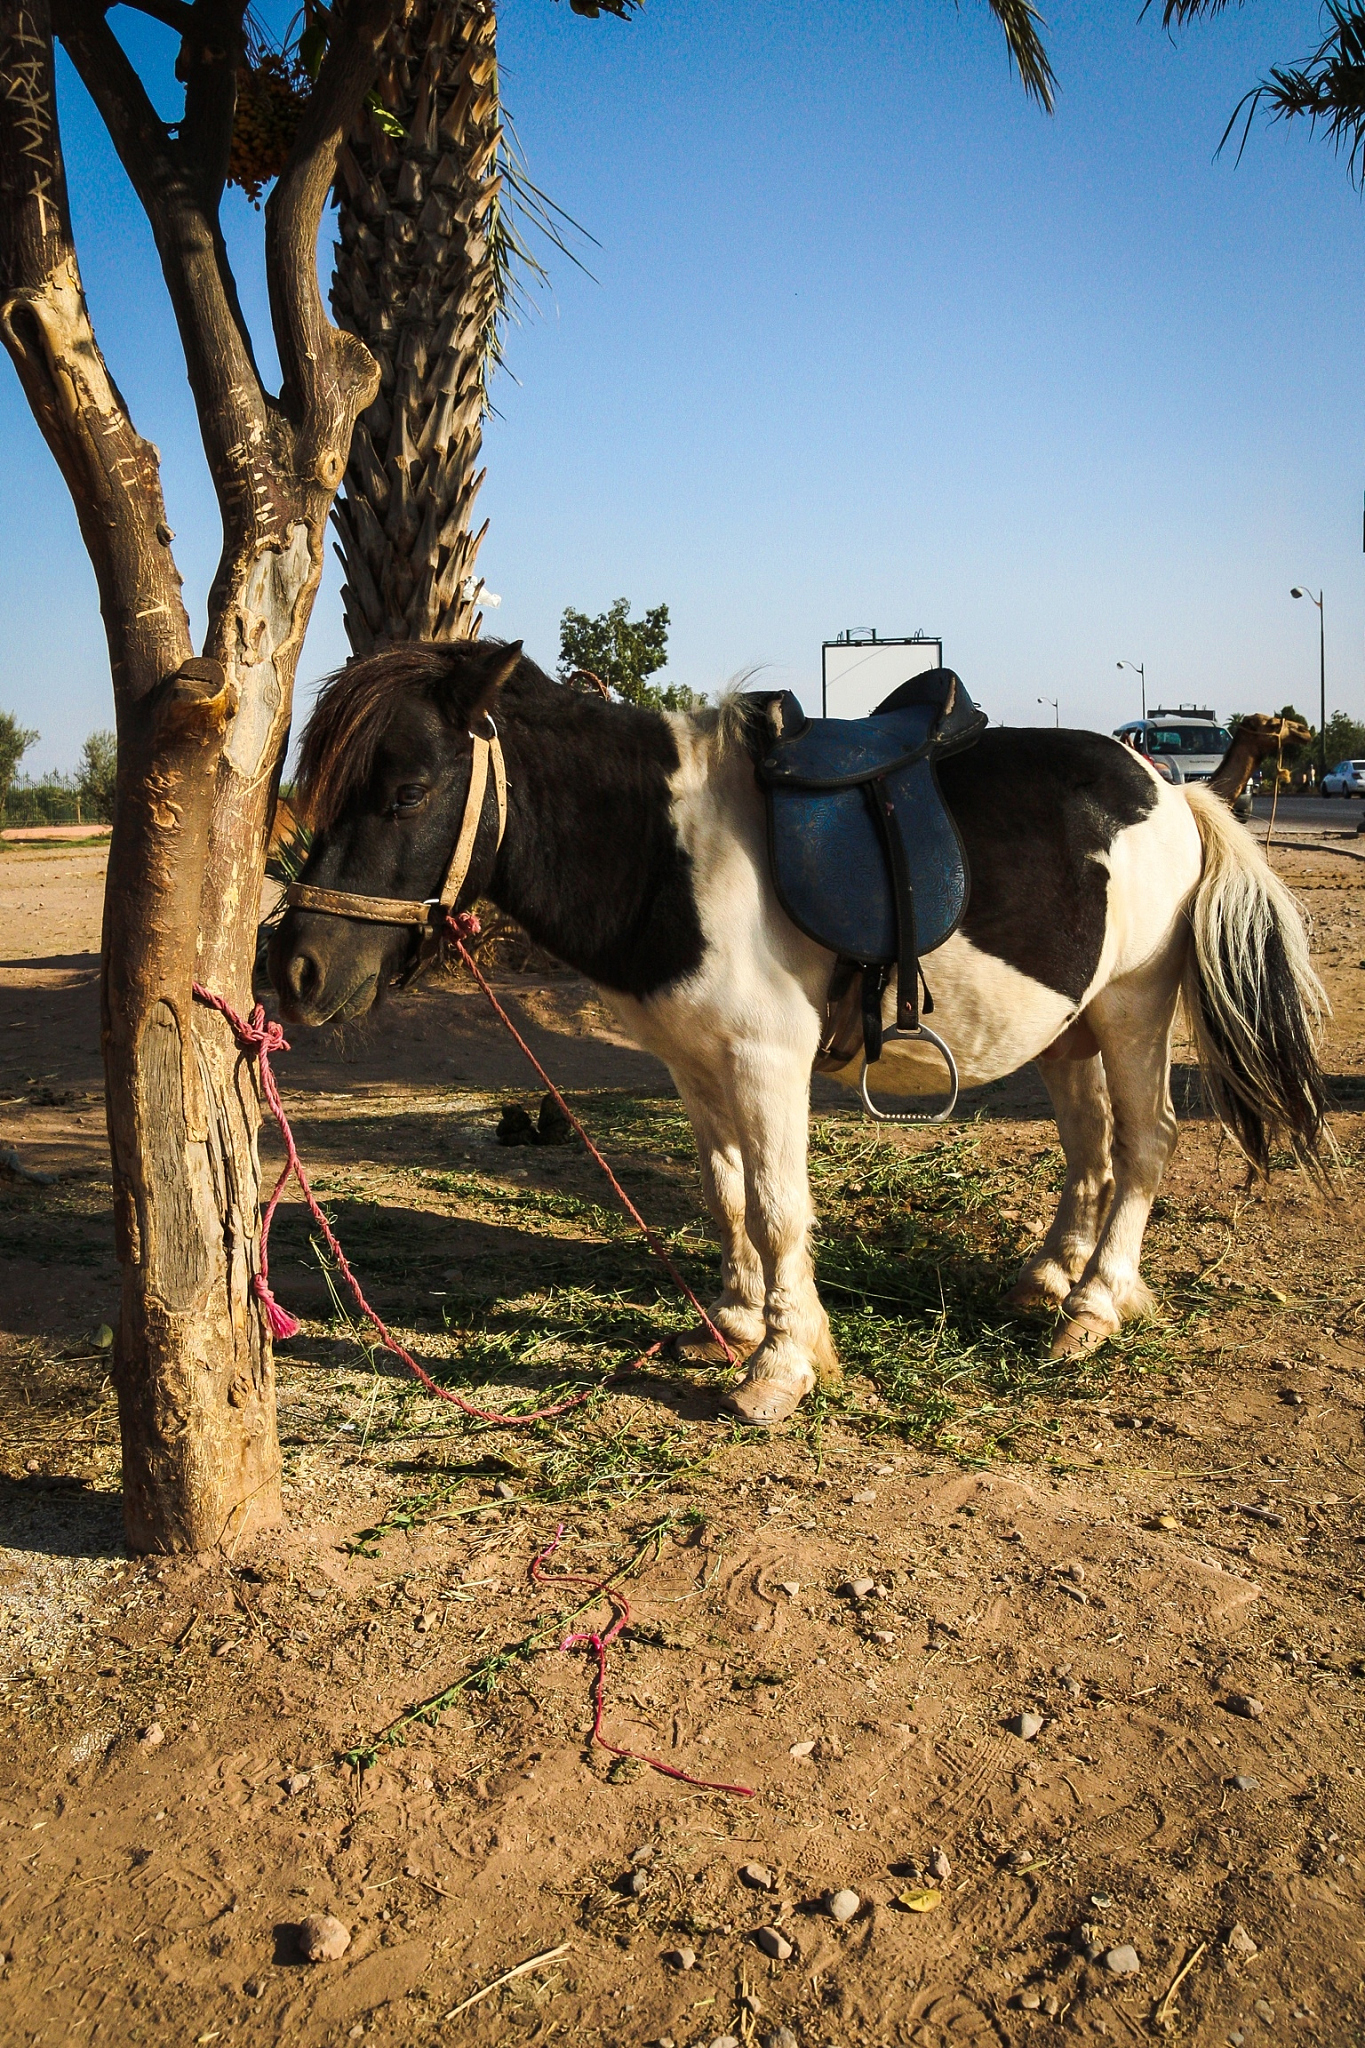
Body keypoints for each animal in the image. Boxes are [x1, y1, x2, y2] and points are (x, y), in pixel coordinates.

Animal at [270, 639, 1330, 1425]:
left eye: (408, 792)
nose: (297, 972)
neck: (662, 850)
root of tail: (1174, 789)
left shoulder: (763, 1060)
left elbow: (779, 1207)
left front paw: (780, 1364)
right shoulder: (694, 1063)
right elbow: (726, 1195)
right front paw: (736, 1323)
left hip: (1132, 1008)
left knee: (1145, 1144)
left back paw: (1096, 1304)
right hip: (1066, 1025)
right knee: (1091, 1148)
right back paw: (1046, 1279)